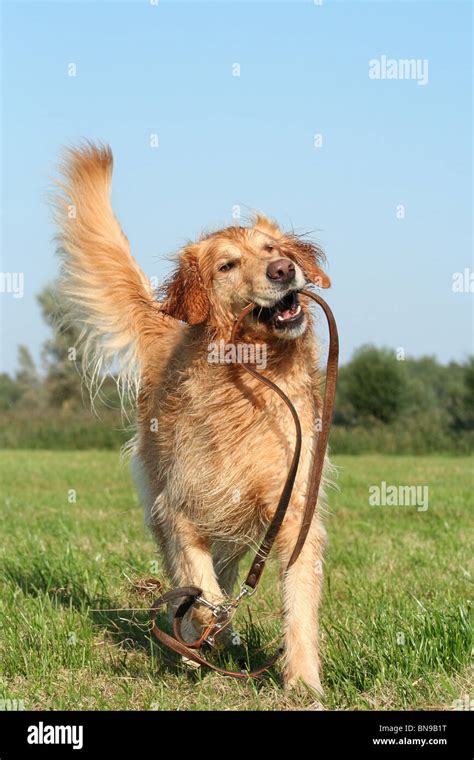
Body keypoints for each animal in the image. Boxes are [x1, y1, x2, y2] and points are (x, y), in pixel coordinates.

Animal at [53, 142, 332, 696]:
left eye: (272, 248)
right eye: (227, 265)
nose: (283, 270)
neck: (251, 381)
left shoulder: (294, 513)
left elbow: (296, 606)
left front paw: (303, 682)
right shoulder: (179, 509)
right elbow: (201, 592)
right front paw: (204, 634)